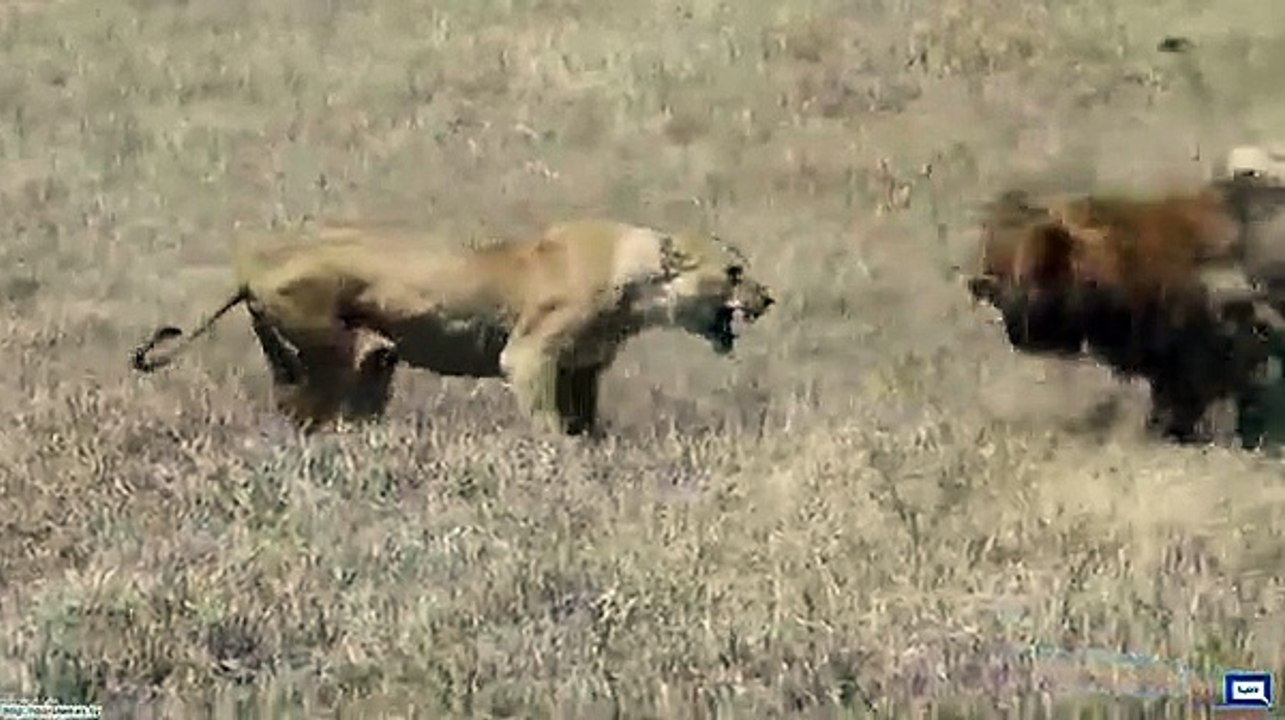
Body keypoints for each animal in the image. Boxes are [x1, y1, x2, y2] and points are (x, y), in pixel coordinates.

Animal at [131, 219, 776, 435]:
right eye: (734, 270)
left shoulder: (582, 368)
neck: (638, 279)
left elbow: (586, 422)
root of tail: (253, 268)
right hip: (339, 348)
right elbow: (551, 422)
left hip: (295, 361)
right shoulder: (530, 355)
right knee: (354, 368)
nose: (767, 298)